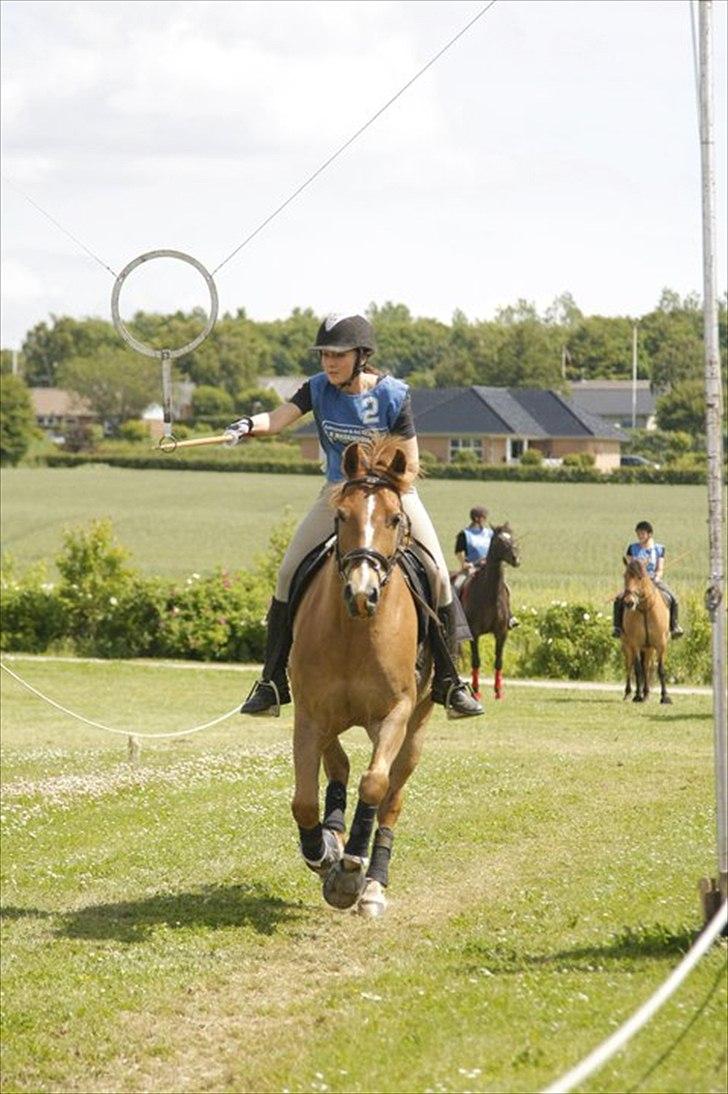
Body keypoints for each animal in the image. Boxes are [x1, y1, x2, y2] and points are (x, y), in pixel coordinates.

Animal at [284, 435, 431, 914]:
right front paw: (322, 853)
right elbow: (305, 801)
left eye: (394, 518)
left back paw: (372, 884)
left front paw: (351, 871)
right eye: (341, 516)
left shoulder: (396, 713)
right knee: (340, 767)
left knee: (391, 799)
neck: (355, 632)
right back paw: (332, 838)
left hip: (415, 729)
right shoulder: (311, 713)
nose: (361, 593)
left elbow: (374, 785)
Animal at [457, 522, 518, 700]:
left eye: (512, 537)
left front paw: (499, 692)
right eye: (499, 541)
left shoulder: (501, 632)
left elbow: (499, 661)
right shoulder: (474, 633)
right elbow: (476, 660)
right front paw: (476, 692)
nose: (516, 559)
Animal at [617, 560, 669, 704]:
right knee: (630, 666)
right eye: (625, 576)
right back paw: (630, 693)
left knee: (646, 667)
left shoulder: (661, 644)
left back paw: (646, 694)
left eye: (640, 577)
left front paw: (665, 697)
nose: (629, 602)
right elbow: (637, 669)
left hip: (649, 648)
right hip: (627, 645)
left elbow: (660, 669)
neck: (645, 609)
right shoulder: (635, 644)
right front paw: (637, 696)